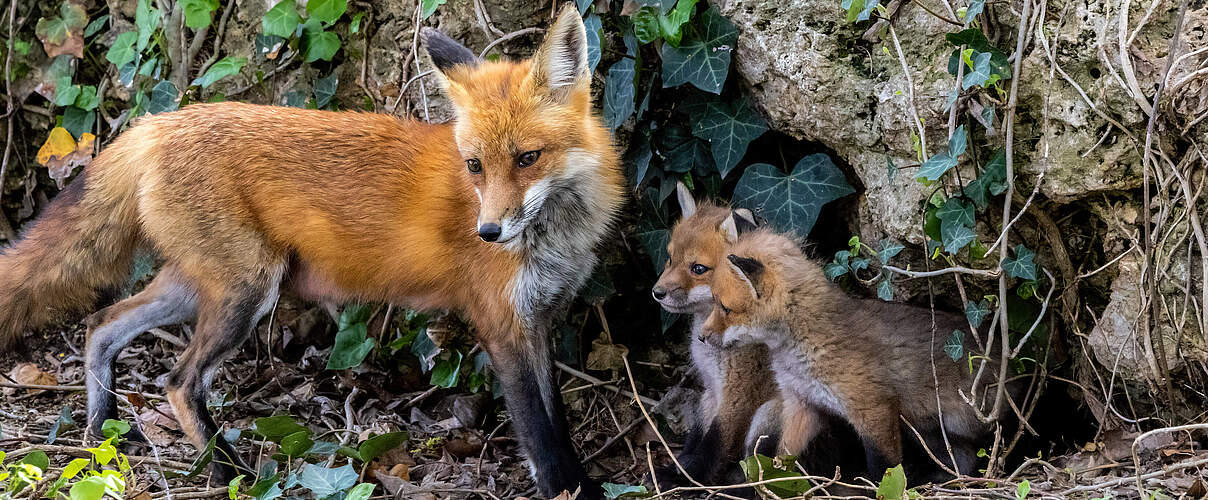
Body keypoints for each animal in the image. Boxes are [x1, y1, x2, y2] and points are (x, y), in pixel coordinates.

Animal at [0, 6, 622, 498]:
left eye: (528, 158)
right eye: (474, 166)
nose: (489, 231)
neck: (556, 233)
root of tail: (158, 121)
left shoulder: (538, 319)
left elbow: (558, 419)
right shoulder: (501, 323)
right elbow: (540, 433)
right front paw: (569, 491)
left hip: (202, 286)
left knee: (102, 325)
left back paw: (99, 436)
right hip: (246, 292)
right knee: (177, 381)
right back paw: (230, 474)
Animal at [701, 228, 995, 478]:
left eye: (724, 308)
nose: (701, 337)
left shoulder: (873, 408)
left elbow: (884, 470)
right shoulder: (802, 404)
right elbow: (782, 459)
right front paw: (773, 486)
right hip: (929, 431)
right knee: (964, 459)